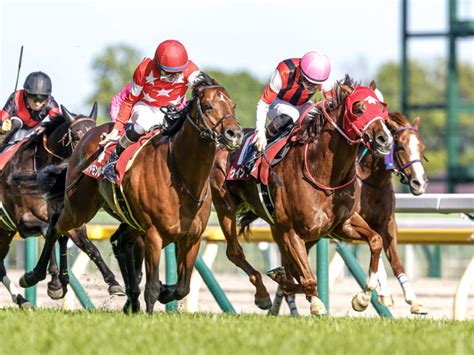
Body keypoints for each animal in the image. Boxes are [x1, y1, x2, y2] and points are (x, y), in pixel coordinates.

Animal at [0, 104, 124, 308]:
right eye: (77, 137)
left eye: (99, 135)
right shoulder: (24, 222)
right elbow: (48, 233)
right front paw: (52, 282)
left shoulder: (71, 219)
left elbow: (89, 247)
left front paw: (112, 281)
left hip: (5, 233)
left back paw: (22, 300)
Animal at [19, 76, 243, 314]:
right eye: (208, 106)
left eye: (233, 106)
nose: (235, 134)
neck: (183, 179)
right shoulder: (154, 234)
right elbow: (152, 287)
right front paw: (151, 307)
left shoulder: (192, 238)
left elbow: (183, 287)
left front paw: (165, 292)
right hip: (80, 207)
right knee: (55, 227)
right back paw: (37, 278)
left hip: (127, 219)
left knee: (118, 241)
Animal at [210, 76, 392, 316]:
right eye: (358, 108)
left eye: (381, 108)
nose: (384, 140)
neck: (323, 172)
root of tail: (224, 147)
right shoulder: (291, 230)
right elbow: (307, 278)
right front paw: (316, 304)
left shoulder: (342, 224)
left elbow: (376, 240)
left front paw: (362, 297)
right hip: (226, 207)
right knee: (235, 252)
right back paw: (262, 294)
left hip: (277, 227)